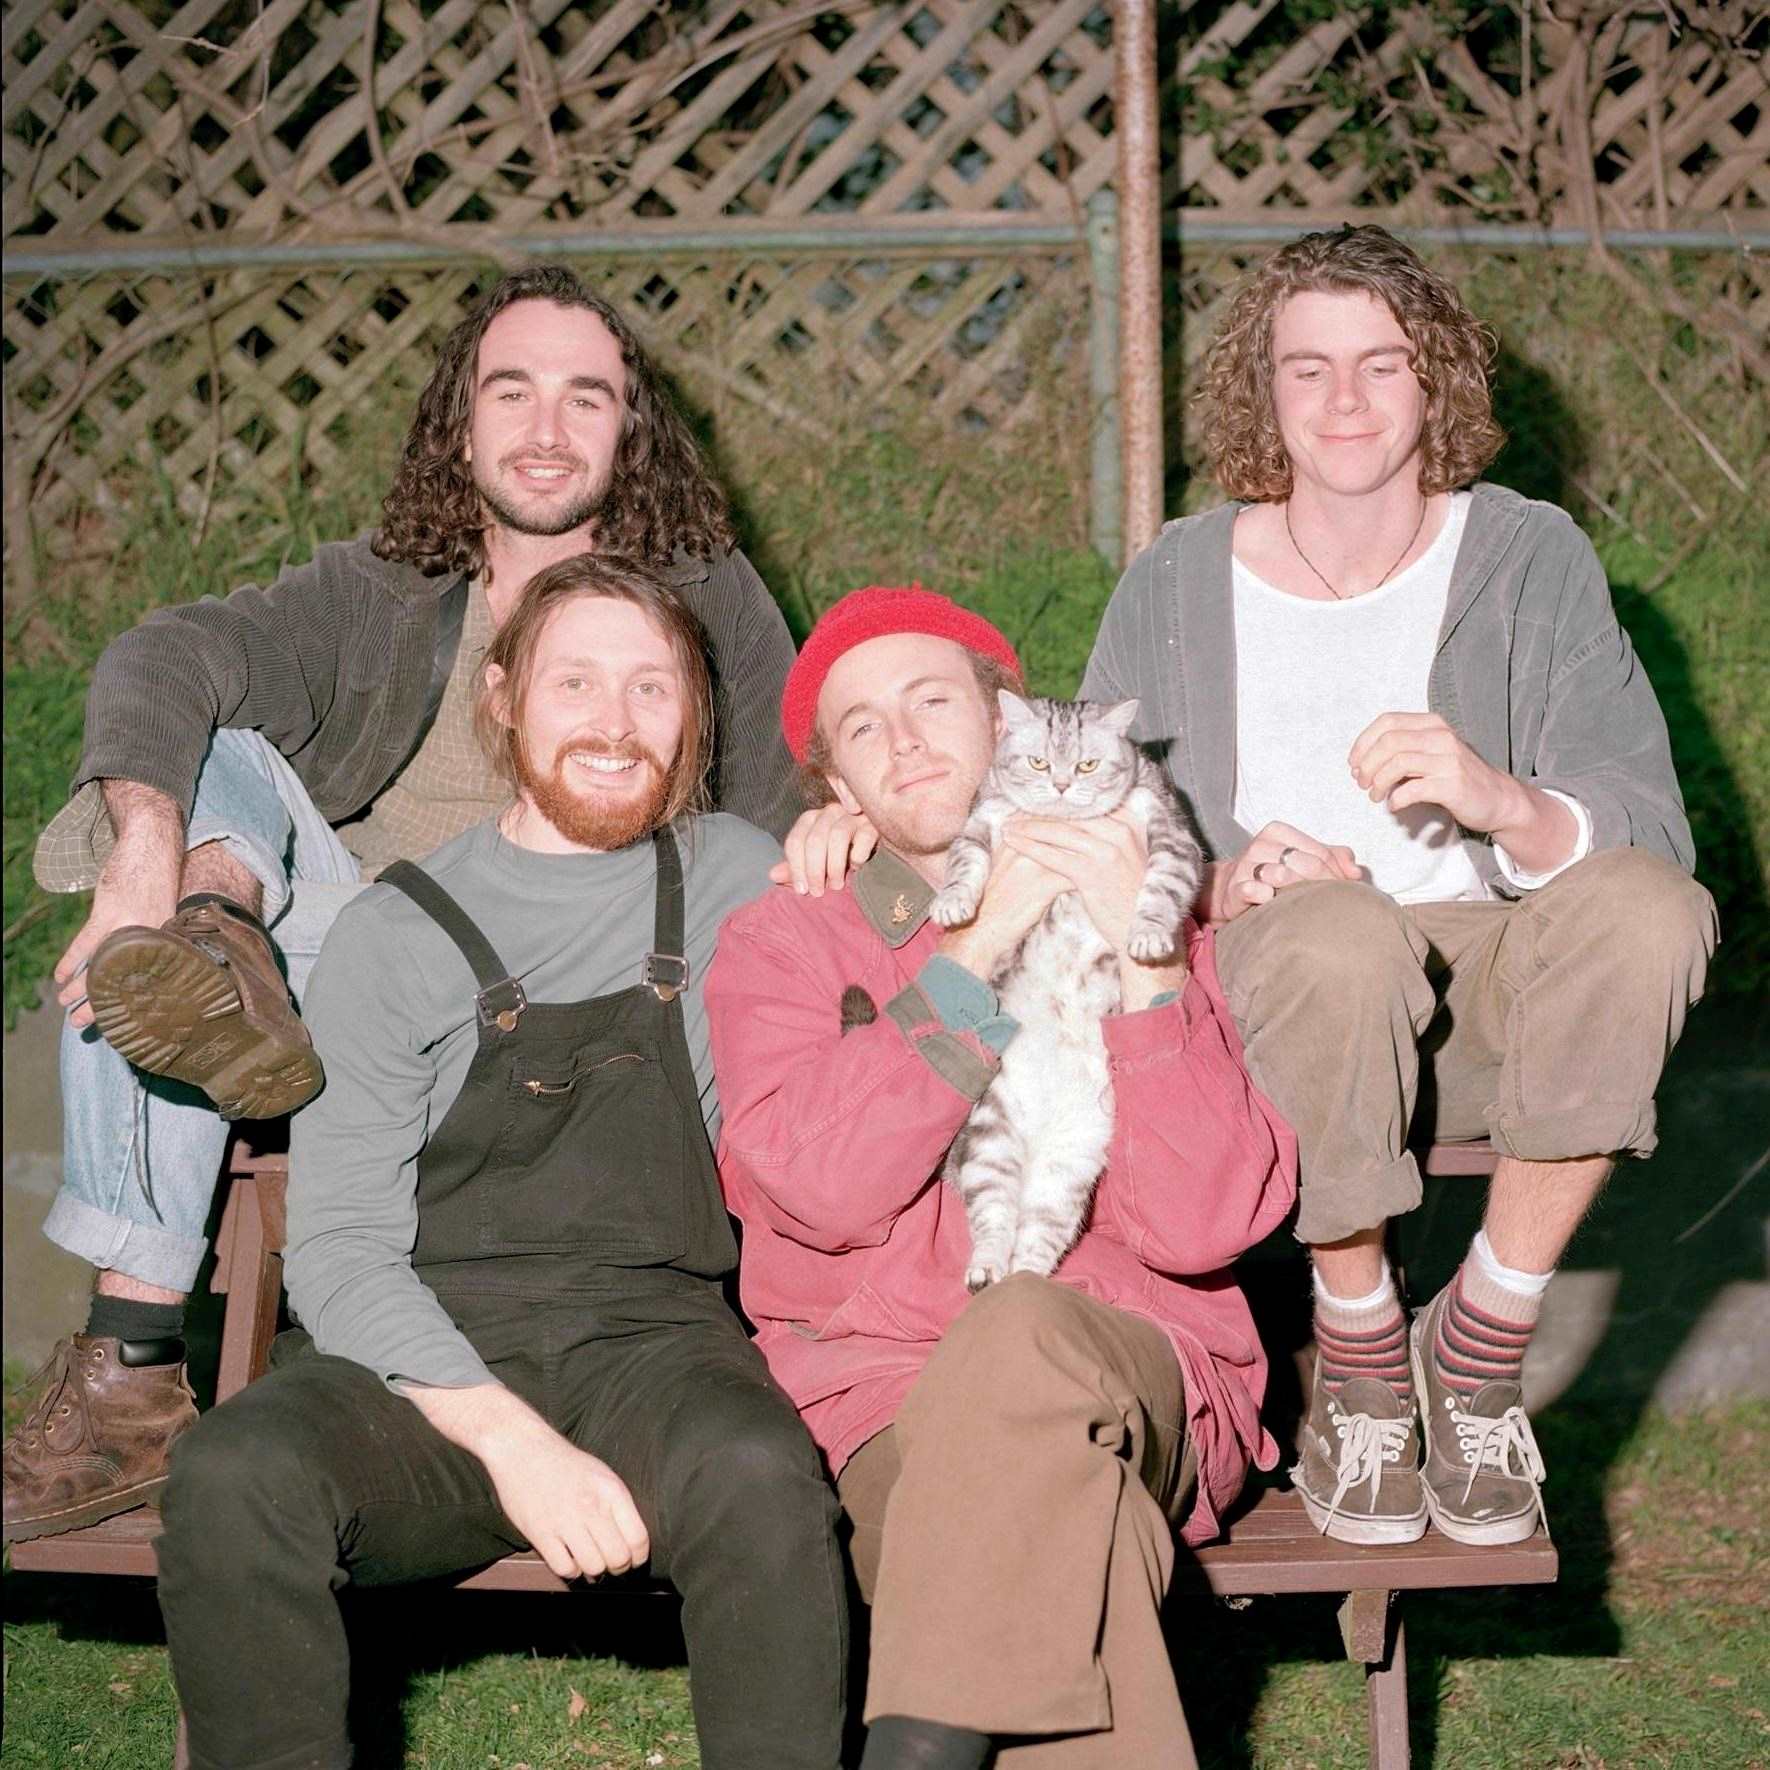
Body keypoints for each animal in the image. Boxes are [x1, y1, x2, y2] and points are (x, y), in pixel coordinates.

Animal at [929, 691, 1203, 1291]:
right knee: (994, 1218)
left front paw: (1149, 933)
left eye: (1087, 765)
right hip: (992, 1138)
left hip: (1069, 1169)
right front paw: (953, 901)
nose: (1058, 785)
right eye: (1037, 762)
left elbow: (1161, 885)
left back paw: (1025, 1280)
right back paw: (986, 1269)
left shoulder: (1170, 833)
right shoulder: (983, 821)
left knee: (1039, 1239)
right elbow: (965, 862)